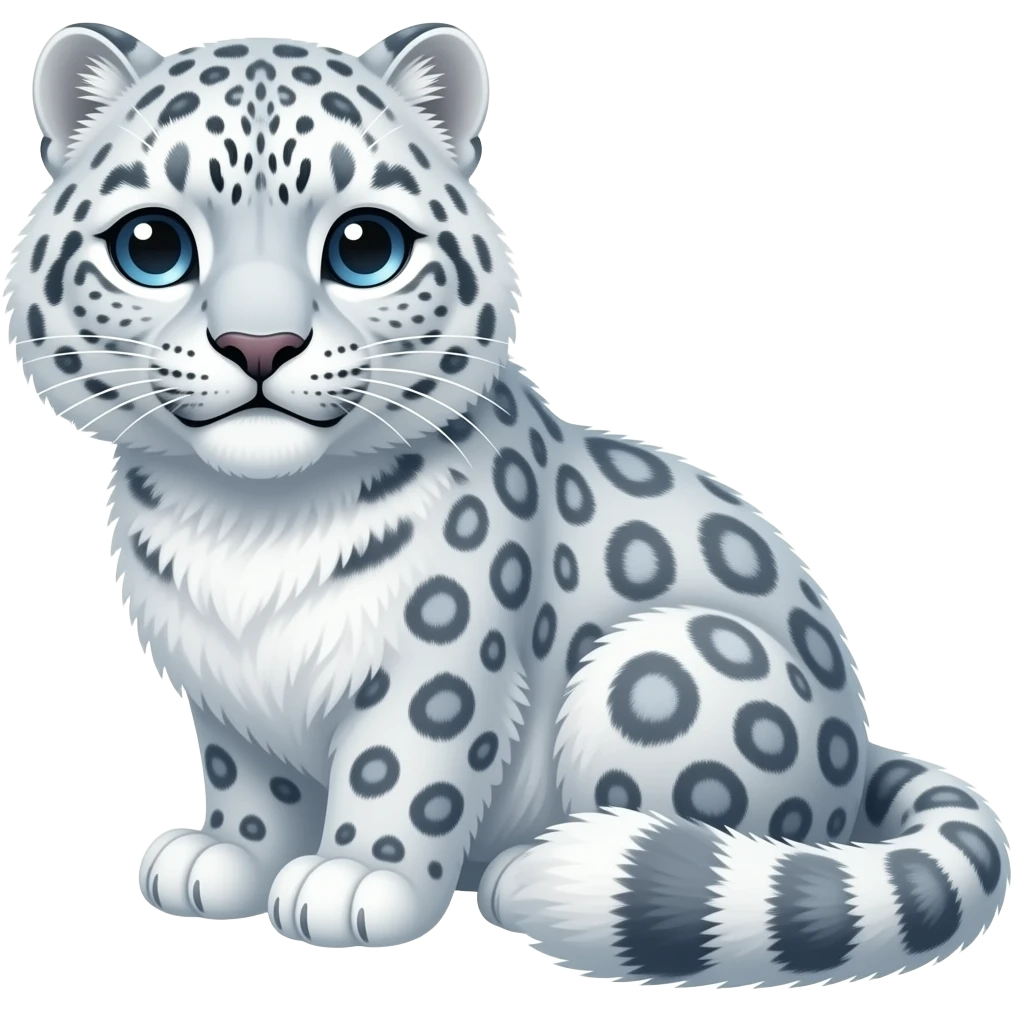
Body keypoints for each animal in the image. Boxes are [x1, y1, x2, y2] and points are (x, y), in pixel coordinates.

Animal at [5, 21, 1009, 988]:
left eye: (364, 246)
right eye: (151, 245)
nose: (260, 344)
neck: (249, 529)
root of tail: (860, 751)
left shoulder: (440, 657)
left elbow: (401, 772)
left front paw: (356, 878)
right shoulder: (221, 685)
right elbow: (250, 778)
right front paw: (230, 857)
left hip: (668, 667)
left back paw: (537, 869)